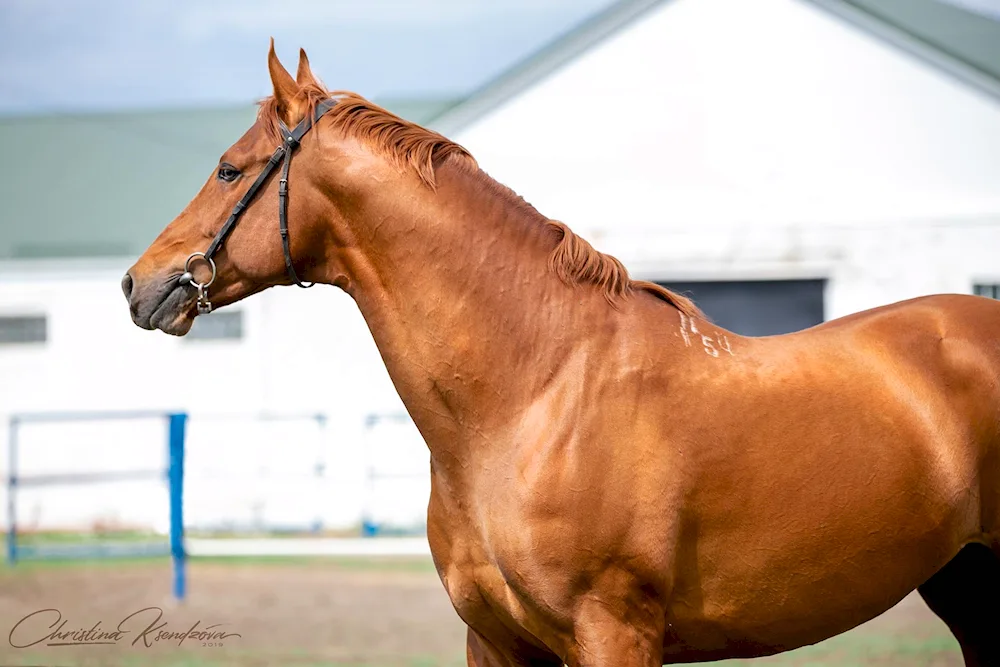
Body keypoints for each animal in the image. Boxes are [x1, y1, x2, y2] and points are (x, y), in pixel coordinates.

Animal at [125, 44, 1000, 664]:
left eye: (228, 169)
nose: (139, 283)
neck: (536, 391)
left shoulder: (614, 632)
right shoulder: (494, 641)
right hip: (966, 583)